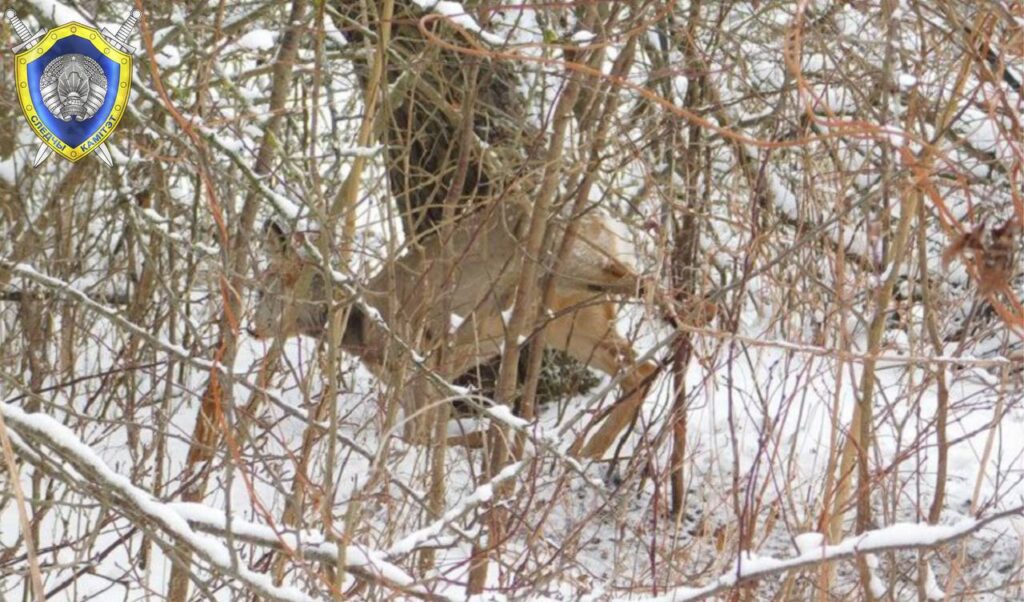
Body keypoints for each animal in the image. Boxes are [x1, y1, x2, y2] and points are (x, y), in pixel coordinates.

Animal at [250, 200, 675, 456]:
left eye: (261, 291)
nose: (252, 330)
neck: (359, 322)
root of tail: (609, 220)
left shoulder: (419, 363)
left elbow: (417, 437)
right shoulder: (433, 374)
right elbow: (425, 433)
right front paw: (480, 439)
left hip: (572, 264)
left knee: (631, 284)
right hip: (573, 320)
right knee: (640, 368)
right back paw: (583, 452)